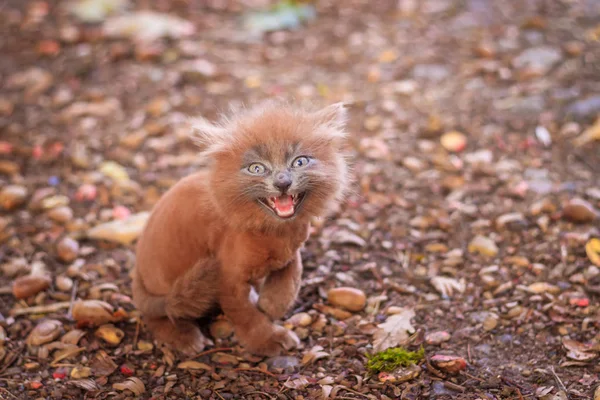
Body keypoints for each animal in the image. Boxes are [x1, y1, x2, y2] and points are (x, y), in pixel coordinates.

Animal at [130, 101, 346, 356]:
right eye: (256, 168)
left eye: (299, 162)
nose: (282, 182)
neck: (274, 231)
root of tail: (137, 270)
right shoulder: (229, 280)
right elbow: (246, 316)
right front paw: (269, 339)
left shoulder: (293, 250)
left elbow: (292, 274)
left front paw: (271, 304)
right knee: (160, 314)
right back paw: (185, 338)